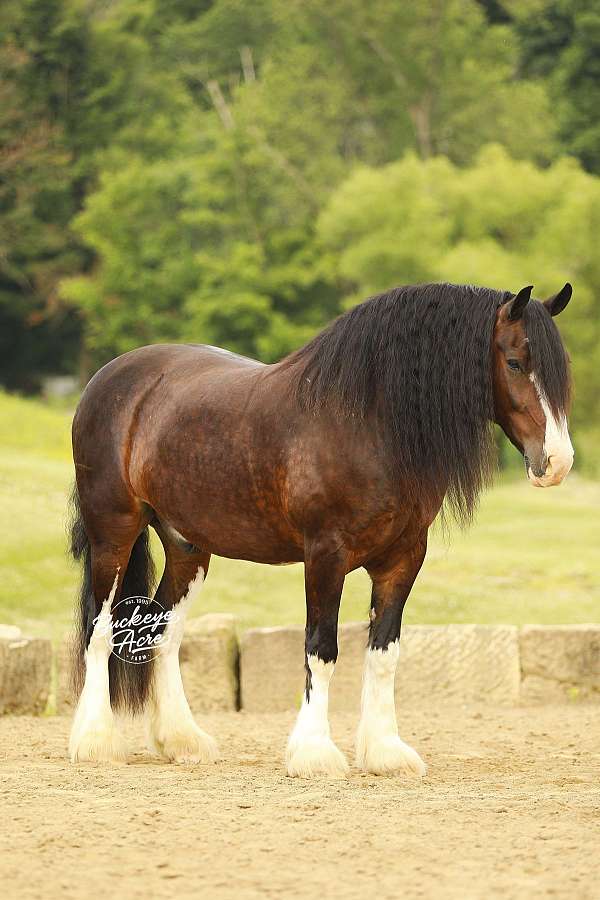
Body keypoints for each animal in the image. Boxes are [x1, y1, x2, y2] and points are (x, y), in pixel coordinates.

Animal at [68, 281, 573, 777]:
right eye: (515, 362)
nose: (557, 462)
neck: (369, 423)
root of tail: (111, 377)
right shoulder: (326, 555)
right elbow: (322, 649)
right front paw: (314, 752)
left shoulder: (403, 557)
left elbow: (384, 654)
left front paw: (384, 751)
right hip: (113, 533)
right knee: (99, 628)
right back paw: (95, 741)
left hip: (187, 546)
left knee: (164, 631)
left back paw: (181, 741)